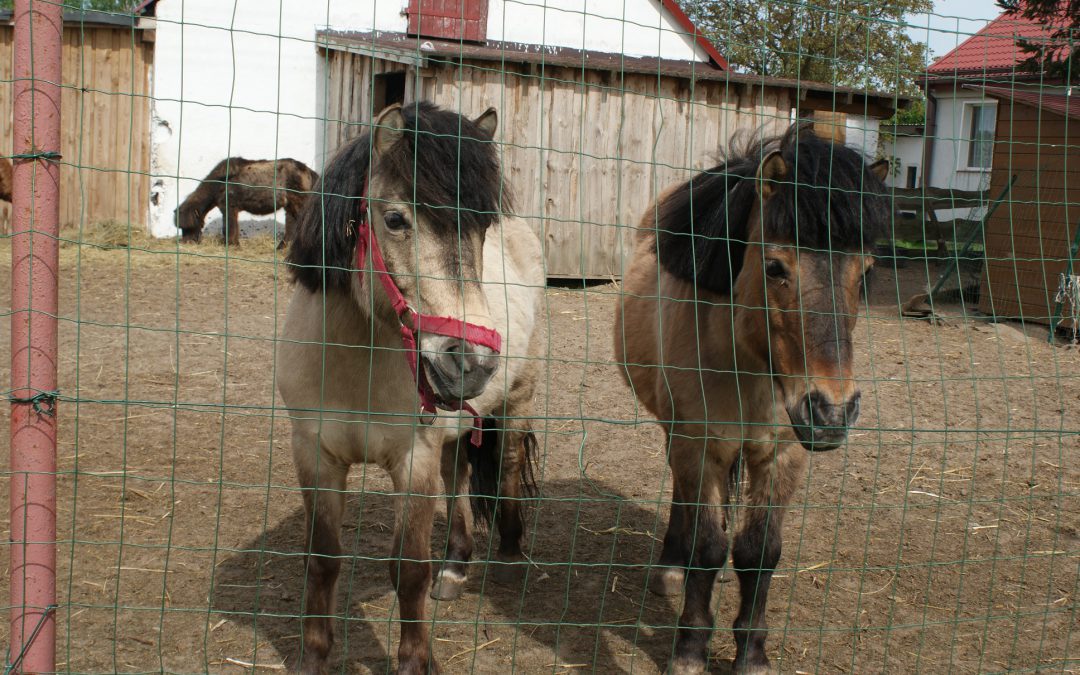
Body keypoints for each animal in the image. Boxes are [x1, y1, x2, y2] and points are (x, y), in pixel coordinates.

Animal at [172, 155, 315, 245]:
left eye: (190, 226)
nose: (186, 242)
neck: (220, 181)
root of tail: (308, 171)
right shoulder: (232, 209)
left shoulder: (228, 208)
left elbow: (229, 228)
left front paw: (231, 245)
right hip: (290, 207)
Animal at [278, 101, 544, 673]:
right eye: (395, 220)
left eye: (482, 226)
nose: (472, 360)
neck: (356, 364)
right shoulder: (314, 453)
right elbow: (323, 559)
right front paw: (314, 656)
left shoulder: (412, 458)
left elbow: (409, 569)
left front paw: (414, 661)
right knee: (459, 473)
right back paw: (457, 567)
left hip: (516, 399)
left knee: (508, 466)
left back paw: (511, 555)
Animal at [613, 123, 889, 669]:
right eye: (776, 267)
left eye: (866, 271)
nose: (832, 411)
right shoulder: (699, 447)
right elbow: (708, 546)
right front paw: (690, 648)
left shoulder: (782, 456)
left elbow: (759, 551)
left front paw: (752, 653)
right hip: (677, 433)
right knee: (683, 499)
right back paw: (670, 567)